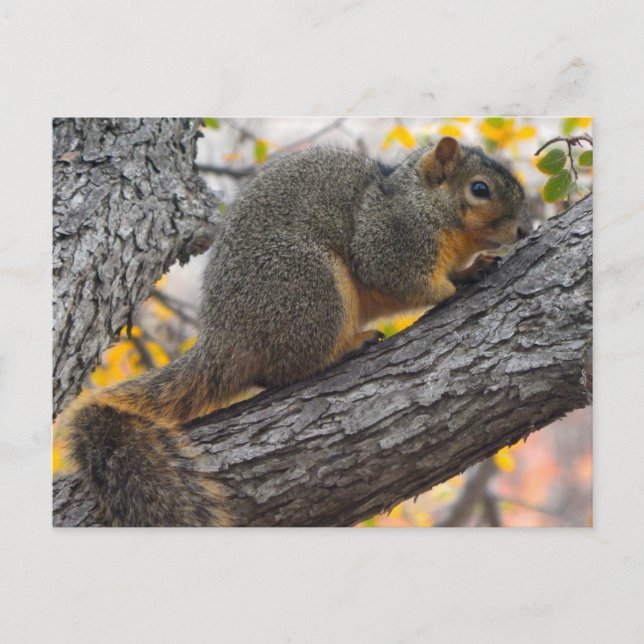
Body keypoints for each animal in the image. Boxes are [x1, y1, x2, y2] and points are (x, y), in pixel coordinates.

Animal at [61, 136, 530, 526]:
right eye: (480, 189)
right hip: (310, 285)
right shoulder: (391, 238)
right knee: (288, 368)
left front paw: (472, 268)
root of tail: (225, 335)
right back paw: (348, 347)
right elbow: (399, 275)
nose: (524, 229)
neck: (422, 201)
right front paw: (454, 284)